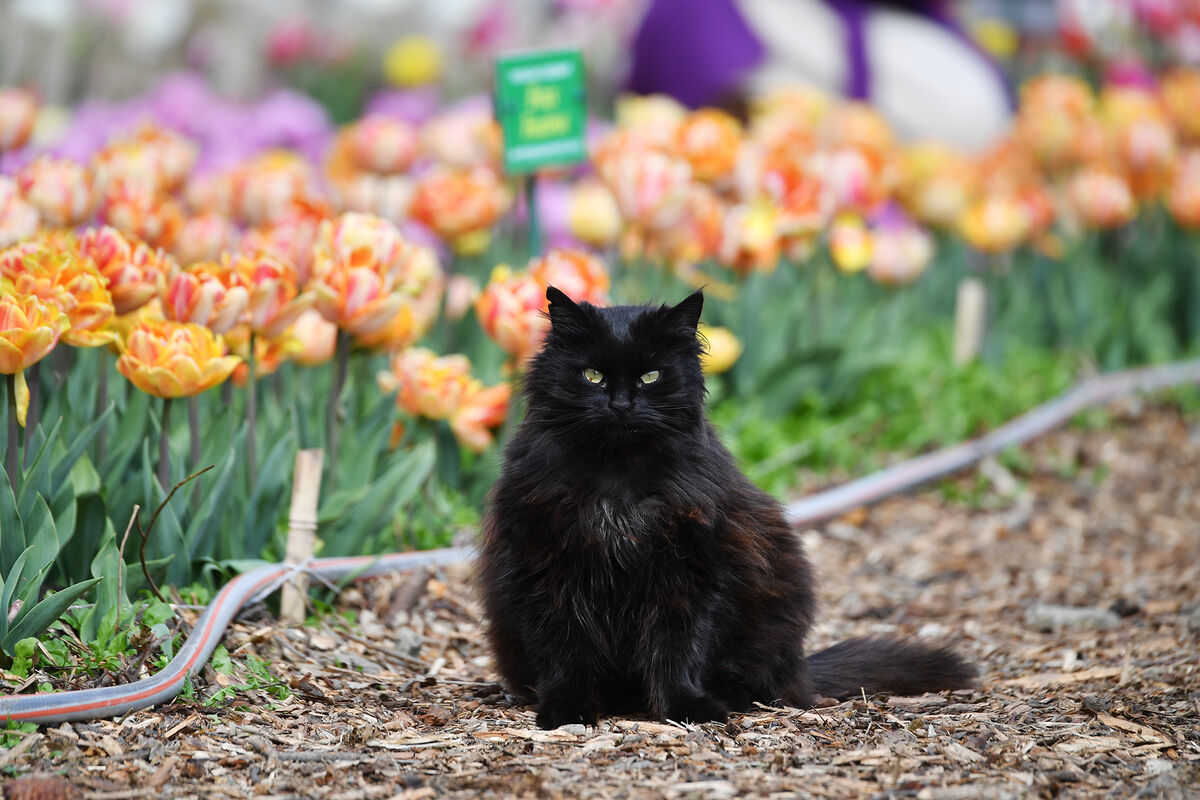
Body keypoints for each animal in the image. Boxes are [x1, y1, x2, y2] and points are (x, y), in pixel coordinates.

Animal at [477, 287, 974, 734]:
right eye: (593, 374)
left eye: (651, 376)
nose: (620, 405)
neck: (618, 480)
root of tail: (802, 669)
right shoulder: (546, 568)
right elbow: (565, 652)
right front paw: (567, 710)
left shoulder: (690, 571)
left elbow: (677, 649)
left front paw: (688, 707)